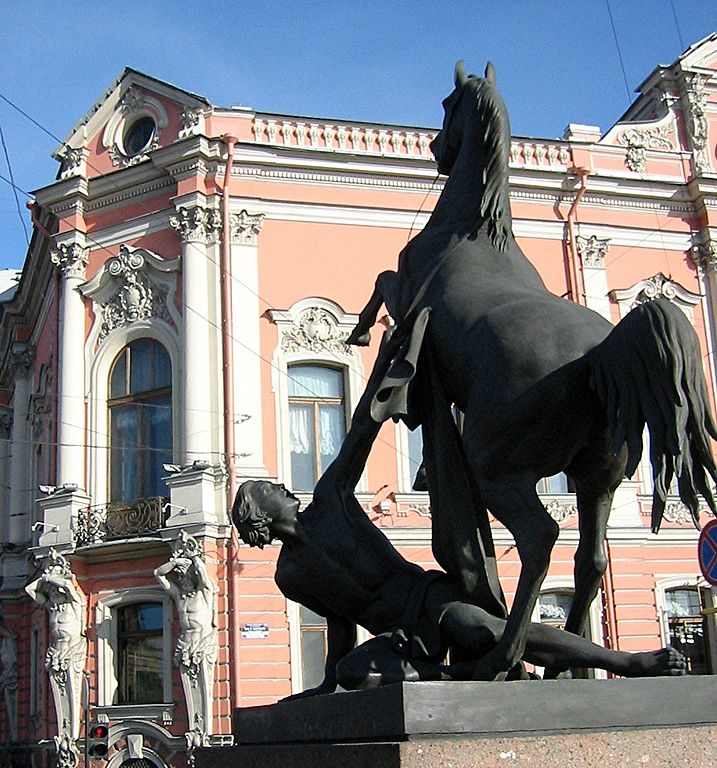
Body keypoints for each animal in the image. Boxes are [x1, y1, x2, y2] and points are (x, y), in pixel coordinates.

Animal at [350, 63, 716, 680]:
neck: (473, 227)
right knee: (590, 560)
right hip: (598, 478)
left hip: (497, 470)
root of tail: (598, 357)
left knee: (542, 539)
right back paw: (560, 666)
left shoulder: (407, 291)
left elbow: (381, 281)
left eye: (448, 103)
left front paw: (359, 330)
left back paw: (499, 659)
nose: (437, 148)